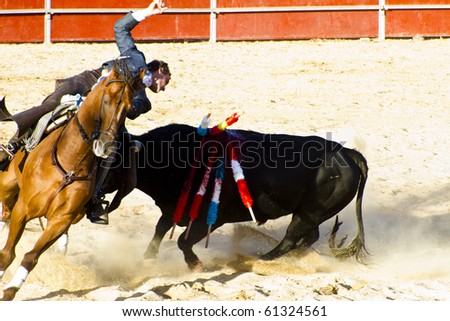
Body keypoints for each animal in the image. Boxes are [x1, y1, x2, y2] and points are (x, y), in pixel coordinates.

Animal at [0, 60, 143, 300]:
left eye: (129, 106)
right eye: (106, 99)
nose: (106, 145)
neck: (70, 164)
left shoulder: (61, 220)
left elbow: (31, 256)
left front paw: (10, 290)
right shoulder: (23, 209)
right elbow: (8, 253)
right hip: (7, 184)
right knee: (5, 212)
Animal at [104, 124, 370, 268]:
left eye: (114, 162)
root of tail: (348, 152)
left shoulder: (210, 219)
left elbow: (182, 241)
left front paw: (194, 264)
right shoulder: (173, 210)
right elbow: (160, 231)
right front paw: (146, 258)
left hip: (309, 214)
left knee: (292, 238)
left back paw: (261, 259)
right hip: (308, 214)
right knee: (307, 237)